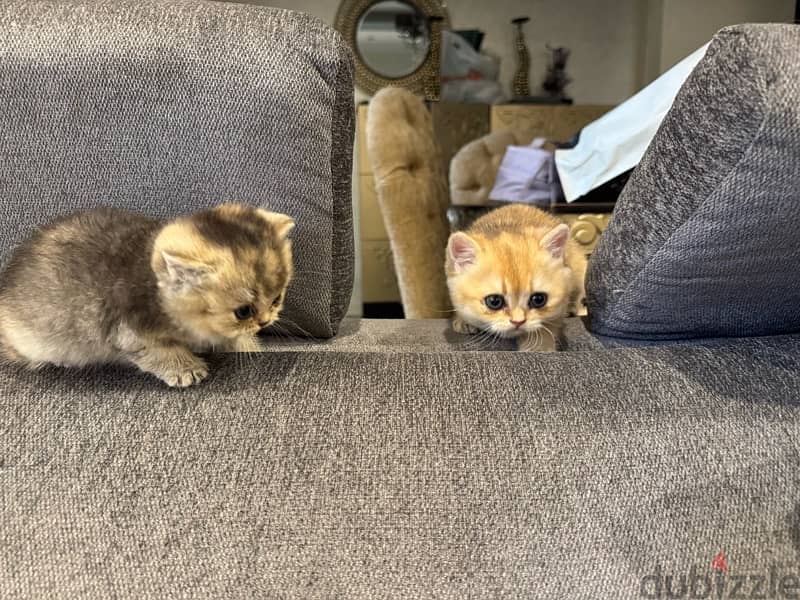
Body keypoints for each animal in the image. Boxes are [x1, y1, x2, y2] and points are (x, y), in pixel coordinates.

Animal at [0, 204, 294, 386]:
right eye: (243, 311)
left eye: (276, 300)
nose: (266, 321)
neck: (156, 289)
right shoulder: (128, 332)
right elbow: (159, 350)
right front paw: (186, 368)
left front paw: (242, 343)